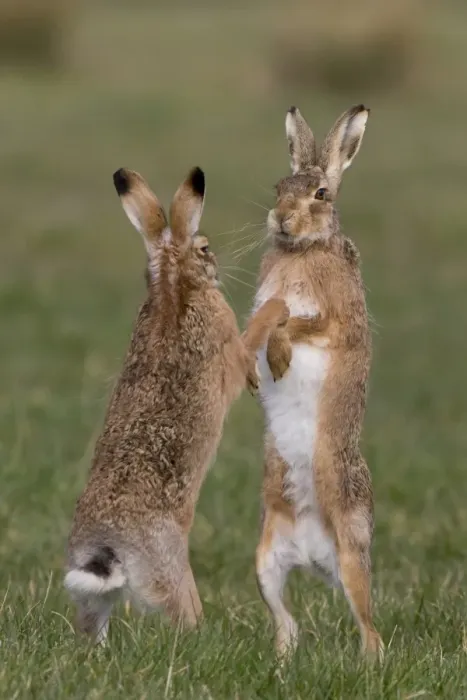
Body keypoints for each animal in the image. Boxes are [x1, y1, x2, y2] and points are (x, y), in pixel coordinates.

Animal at [64, 165, 289, 644]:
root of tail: (108, 547)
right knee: (181, 617)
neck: (173, 280)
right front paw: (277, 309)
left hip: (89, 592)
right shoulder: (231, 347)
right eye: (203, 247)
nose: (215, 263)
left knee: (92, 621)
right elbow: (251, 340)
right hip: (172, 576)